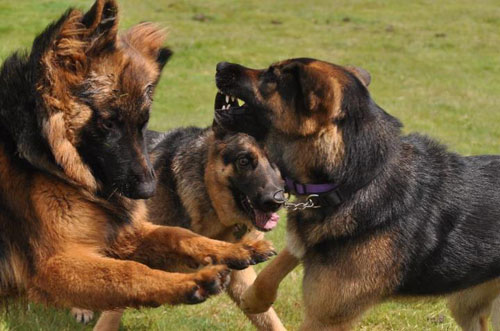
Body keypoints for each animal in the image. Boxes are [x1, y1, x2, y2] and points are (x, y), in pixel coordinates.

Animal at [0, 0, 276, 314]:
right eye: (108, 122)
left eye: (143, 123)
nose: (148, 191)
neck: (46, 157)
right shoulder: (53, 264)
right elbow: (128, 272)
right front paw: (192, 281)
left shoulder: (121, 232)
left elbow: (178, 234)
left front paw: (237, 249)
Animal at [214, 59, 500, 331]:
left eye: (272, 76)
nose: (220, 66)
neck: (357, 180)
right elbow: (281, 260)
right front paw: (254, 299)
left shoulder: (325, 319)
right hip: (465, 305)